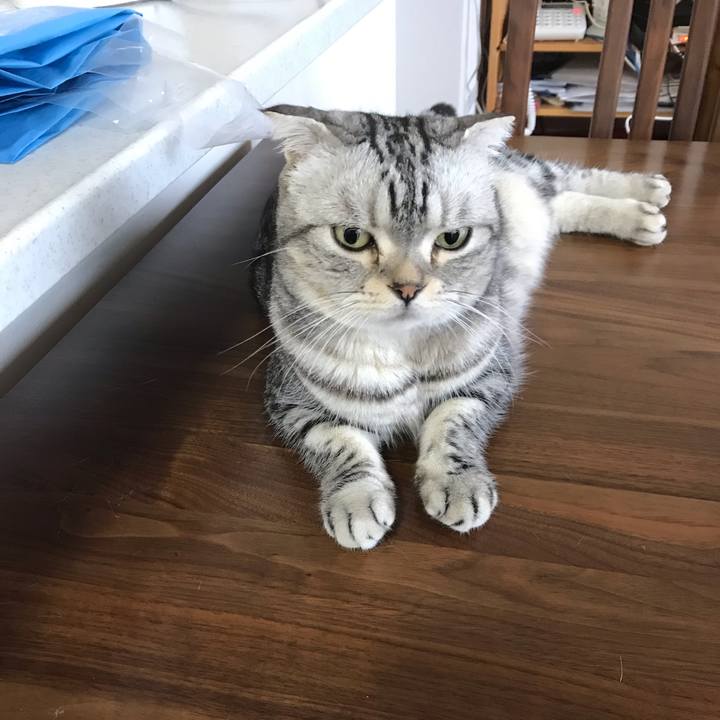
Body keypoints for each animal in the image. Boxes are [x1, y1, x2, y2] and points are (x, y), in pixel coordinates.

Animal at [250, 103, 671, 550]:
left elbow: (452, 422)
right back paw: (643, 215)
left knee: (566, 178)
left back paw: (646, 197)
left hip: (525, 173)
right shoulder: (289, 400)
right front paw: (357, 501)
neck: (405, 352)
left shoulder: (491, 374)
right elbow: (339, 441)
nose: (408, 288)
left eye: (452, 238)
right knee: (560, 203)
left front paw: (456, 483)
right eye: (351, 237)